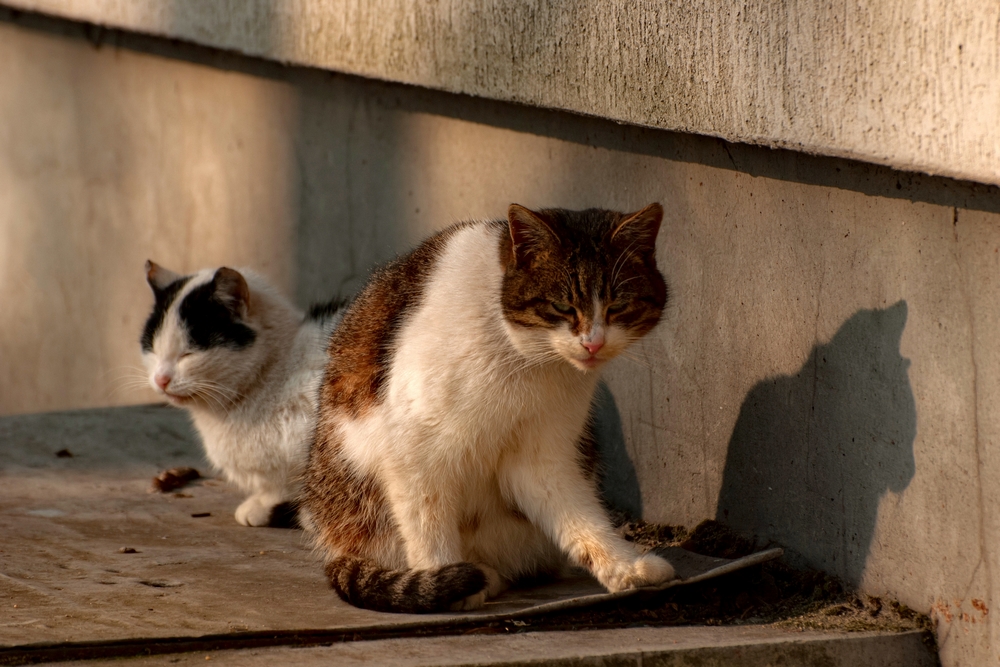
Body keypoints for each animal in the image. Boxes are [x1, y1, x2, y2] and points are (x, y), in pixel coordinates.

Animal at [300, 205, 676, 616]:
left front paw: (623, 566)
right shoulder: (413, 449)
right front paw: (443, 576)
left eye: (618, 306)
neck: (523, 357)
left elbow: (578, 515)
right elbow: (427, 521)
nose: (593, 344)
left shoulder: (542, 454)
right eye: (562, 306)